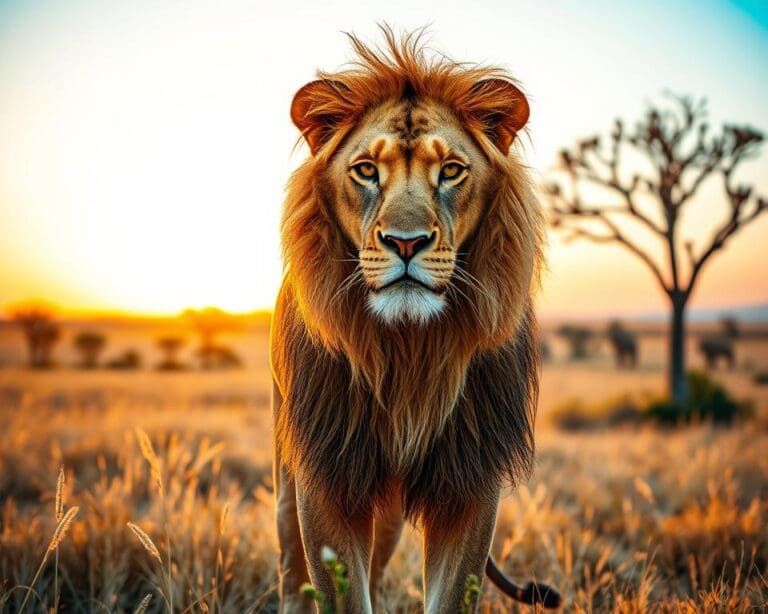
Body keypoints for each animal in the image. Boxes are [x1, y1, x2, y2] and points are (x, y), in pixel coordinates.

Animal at [270, 28, 561, 613]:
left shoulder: (470, 481)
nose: (406, 243)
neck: (409, 349)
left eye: (450, 170)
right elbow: (340, 592)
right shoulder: (327, 476)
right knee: (292, 573)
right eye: (366, 170)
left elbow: (452, 594)